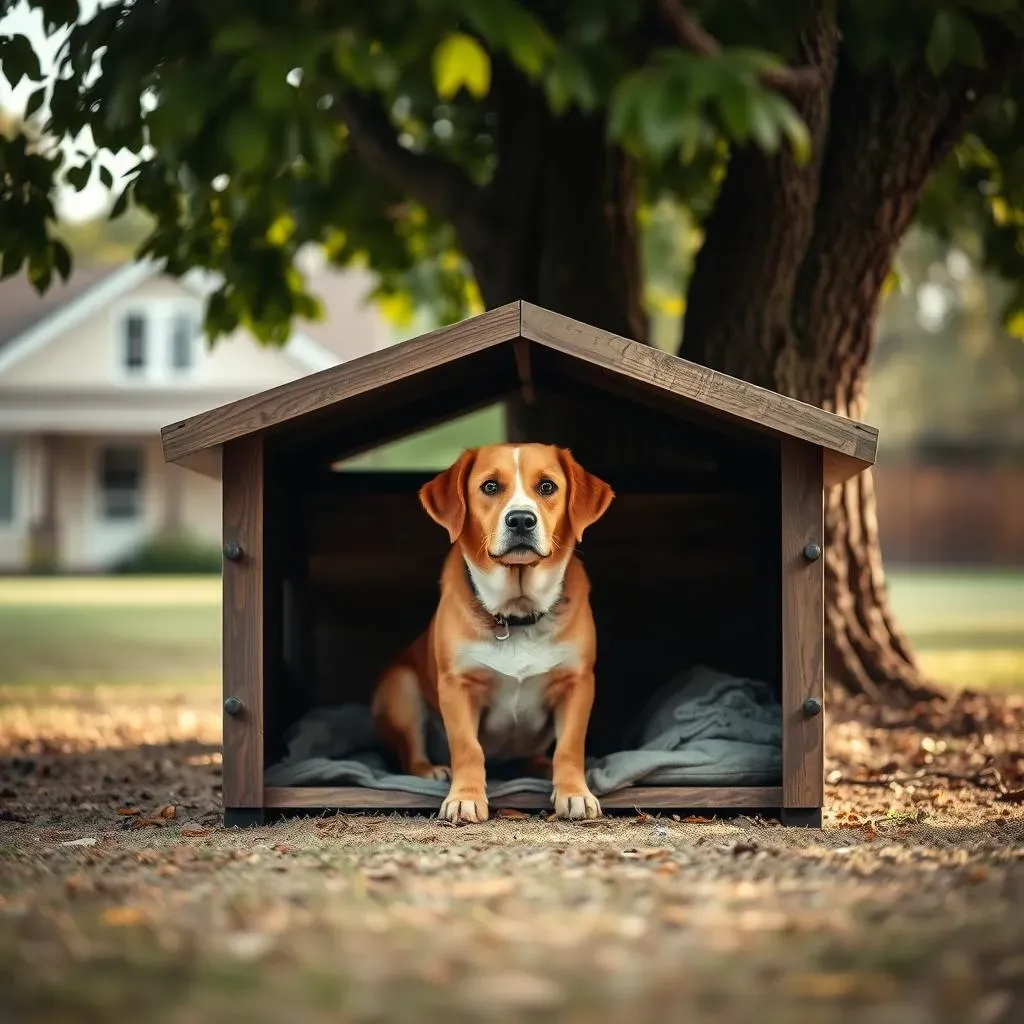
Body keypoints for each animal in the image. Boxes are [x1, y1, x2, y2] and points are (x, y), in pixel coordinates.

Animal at [376, 442, 614, 823]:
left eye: (547, 486)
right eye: (490, 486)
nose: (521, 520)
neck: (516, 615)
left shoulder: (577, 682)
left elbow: (569, 747)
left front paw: (574, 792)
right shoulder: (457, 685)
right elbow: (467, 747)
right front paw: (465, 797)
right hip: (402, 690)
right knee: (411, 753)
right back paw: (430, 770)